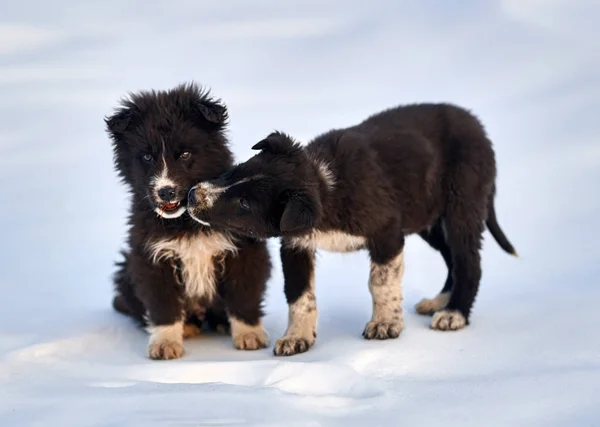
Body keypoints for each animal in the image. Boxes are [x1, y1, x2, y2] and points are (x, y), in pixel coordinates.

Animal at [105, 82, 270, 360]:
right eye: (147, 157)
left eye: (184, 154)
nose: (166, 191)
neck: (185, 221)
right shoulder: (152, 256)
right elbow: (163, 304)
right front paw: (165, 344)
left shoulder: (243, 251)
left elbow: (243, 295)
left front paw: (249, 335)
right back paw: (188, 327)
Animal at [186, 103, 516, 358]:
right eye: (234, 171)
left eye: (245, 203)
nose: (192, 196)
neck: (324, 186)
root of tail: (476, 124)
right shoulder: (296, 245)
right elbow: (300, 295)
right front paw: (297, 337)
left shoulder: (387, 231)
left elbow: (381, 282)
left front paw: (385, 324)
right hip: (429, 218)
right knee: (452, 259)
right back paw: (439, 302)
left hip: (462, 204)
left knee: (468, 262)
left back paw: (453, 313)